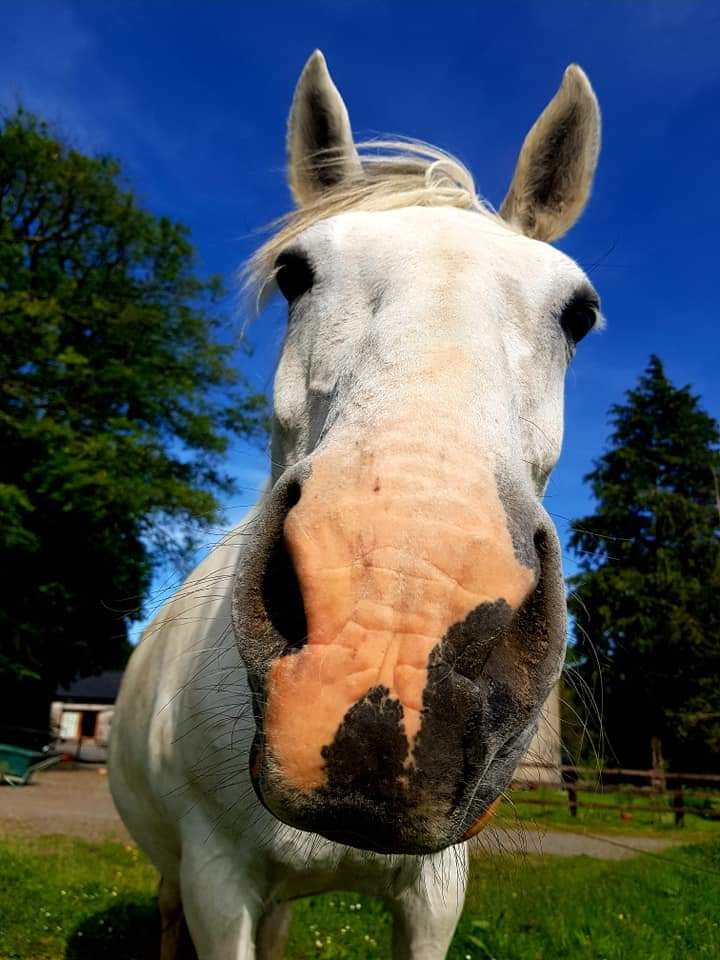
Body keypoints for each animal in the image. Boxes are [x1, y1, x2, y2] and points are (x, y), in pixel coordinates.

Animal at [108, 52, 600, 960]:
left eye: (578, 313)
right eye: (293, 274)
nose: (394, 638)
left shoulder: (434, 893)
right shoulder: (215, 880)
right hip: (175, 875)